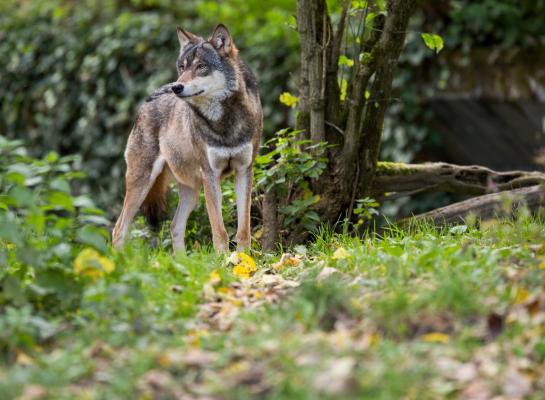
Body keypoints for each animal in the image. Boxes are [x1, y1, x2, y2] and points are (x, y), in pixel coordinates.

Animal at [111, 23, 262, 252]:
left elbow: (243, 230)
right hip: (142, 182)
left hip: (191, 189)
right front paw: (224, 259)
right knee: (119, 229)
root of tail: (149, 98)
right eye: (182, 67)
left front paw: (244, 258)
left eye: (201, 66)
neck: (224, 121)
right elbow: (220, 232)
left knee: (174, 227)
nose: (177, 87)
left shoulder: (244, 170)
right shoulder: (210, 175)